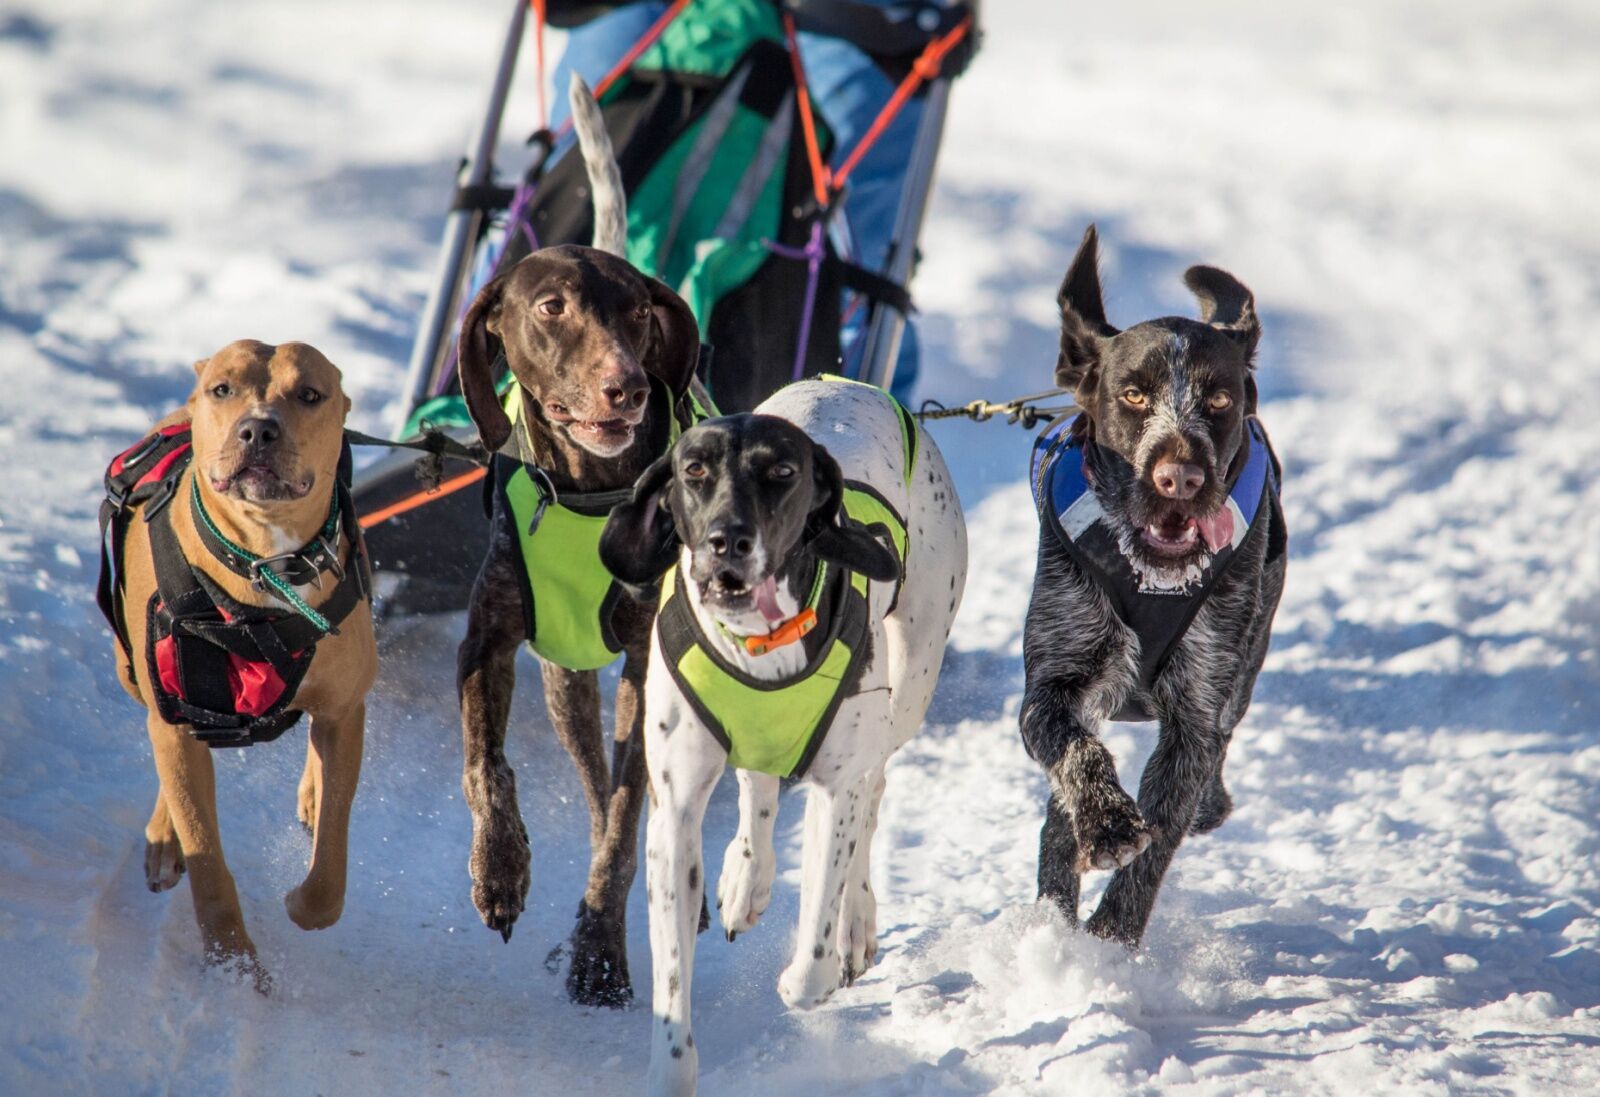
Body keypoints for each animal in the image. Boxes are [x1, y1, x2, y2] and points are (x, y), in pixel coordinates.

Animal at [100, 337, 377, 991]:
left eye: (310, 394)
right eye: (224, 389)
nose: (258, 429)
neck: (265, 565)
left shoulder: (344, 710)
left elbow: (332, 854)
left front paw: (304, 901)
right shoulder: (177, 714)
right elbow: (207, 859)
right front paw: (234, 967)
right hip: (135, 677)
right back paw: (164, 837)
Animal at [1024, 227, 1286, 946]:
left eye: (1218, 399)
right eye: (1134, 394)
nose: (1180, 478)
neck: (1152, 579)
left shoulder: (1196, 712)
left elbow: (1165, 828)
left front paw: (1111, 939)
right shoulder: (1054, 683)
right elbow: (1076, 753)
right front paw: (1106, 823)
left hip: (1247, 661)